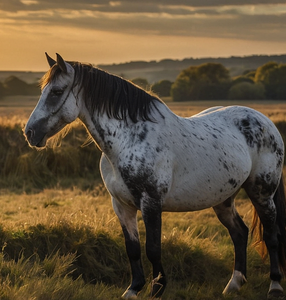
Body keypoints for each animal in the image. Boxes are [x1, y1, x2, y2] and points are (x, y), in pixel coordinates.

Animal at [24, 54, 286, 300]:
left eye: (56, 92)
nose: (30, 132)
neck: (128, 139)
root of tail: (266, 121)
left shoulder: (151, 202)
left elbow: (152, 248)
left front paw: (157, 289)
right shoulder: (121, 205)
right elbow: (132, 248)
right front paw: (133, 289)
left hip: (262, 193)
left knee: (272, 235)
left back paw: (274, 286)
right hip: (223, 198)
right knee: (239, 233)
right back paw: (233, 285)